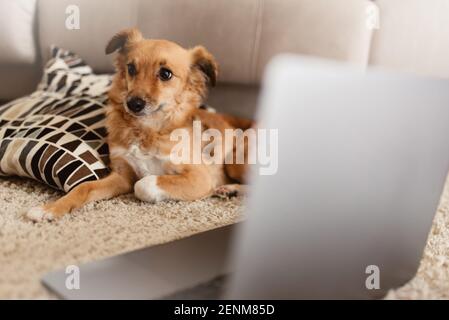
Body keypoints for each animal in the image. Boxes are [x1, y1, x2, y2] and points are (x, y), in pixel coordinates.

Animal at [25, 28, 252, 222]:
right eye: (131, 68)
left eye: (166, 74)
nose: (133, 104)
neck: (147, 128)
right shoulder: (122, 175)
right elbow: (84, 187)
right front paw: (50, 209)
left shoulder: (200, 177)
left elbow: (143, 183)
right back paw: (230, 190)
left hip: (235, 158)